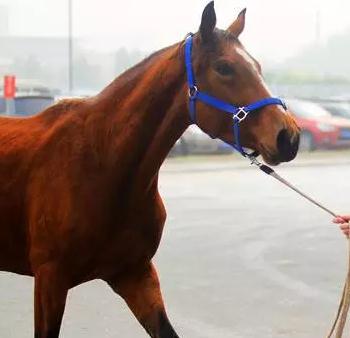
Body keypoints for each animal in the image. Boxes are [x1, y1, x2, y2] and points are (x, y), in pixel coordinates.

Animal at [0, 2, 298, 338]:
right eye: (224, 67)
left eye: (257, 66)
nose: (289, 136)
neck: (102, 163)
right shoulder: (50, 278)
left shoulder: (134, 272)